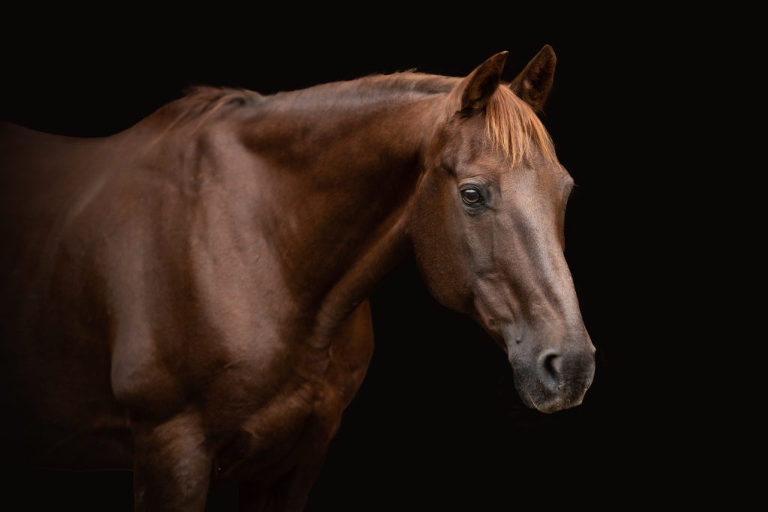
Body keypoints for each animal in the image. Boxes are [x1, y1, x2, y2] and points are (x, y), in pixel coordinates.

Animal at [0, 46, 596, 510]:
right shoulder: (172, 456)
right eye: (472, 194)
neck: (259, 246)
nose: (571, 366)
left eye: (565, 189)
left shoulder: (295, 460)